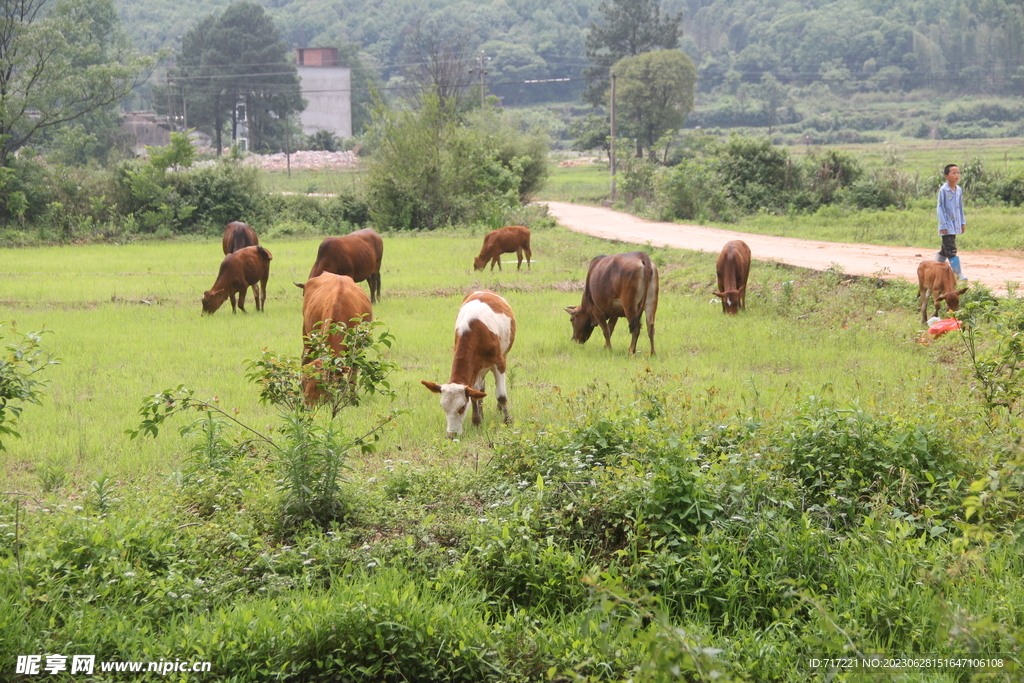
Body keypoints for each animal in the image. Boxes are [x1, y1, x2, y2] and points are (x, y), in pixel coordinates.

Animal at [294, 274, 374, 403]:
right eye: (304, 382)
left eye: (320, 385)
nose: (307, 404)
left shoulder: (356, 349)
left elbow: (352, 375)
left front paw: (350, 399)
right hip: (306, 334)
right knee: (305, 358)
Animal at [419, 290, 516, 438]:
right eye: (443, 408)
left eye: (462, 407)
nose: (451, 435)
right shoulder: (475, 368)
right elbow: (474, 394)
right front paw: (476, 421)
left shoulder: (499, 363)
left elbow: (501, 395)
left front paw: (507, 421)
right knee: (480, 388)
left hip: (504, 353)